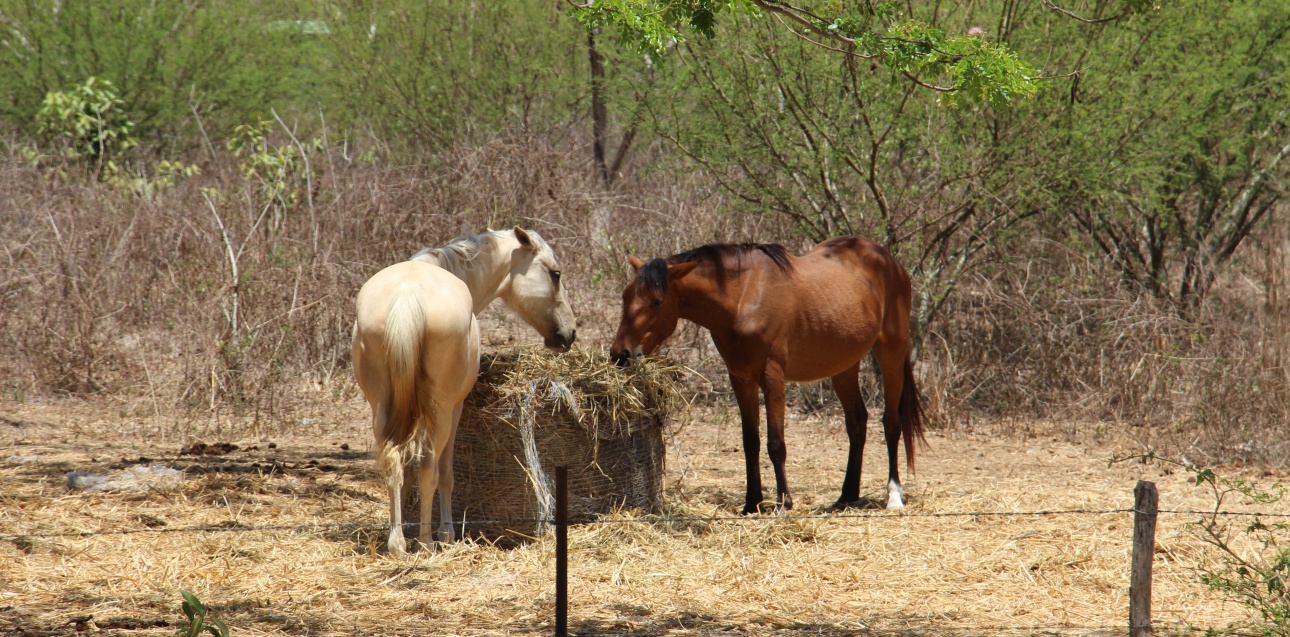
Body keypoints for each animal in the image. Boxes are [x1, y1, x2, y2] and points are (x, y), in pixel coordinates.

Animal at [353, 228, 575, 551]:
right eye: (555, 274)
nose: (569, 333)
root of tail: (408, 293)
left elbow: (405, 471)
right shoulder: (455, 408)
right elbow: (445, 473)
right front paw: (446, 532)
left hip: (382, 408)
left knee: (394, 464)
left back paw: (397, 543)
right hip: (442, 411)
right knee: (430, 468)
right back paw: (428, 541)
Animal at [608, 237, 923, 513]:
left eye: (657, 301)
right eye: (625, 296)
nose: (620, 354)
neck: (743, 297)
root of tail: (888, 259)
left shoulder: (772, 376)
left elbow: (775, 443)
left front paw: (784, 503)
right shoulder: (741, 379)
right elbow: (751, 442)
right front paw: (751, 503)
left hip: (891, 353)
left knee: (891, 422)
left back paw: (894, 495)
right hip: (844, 364)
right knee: (857, 421)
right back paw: (846, 496)